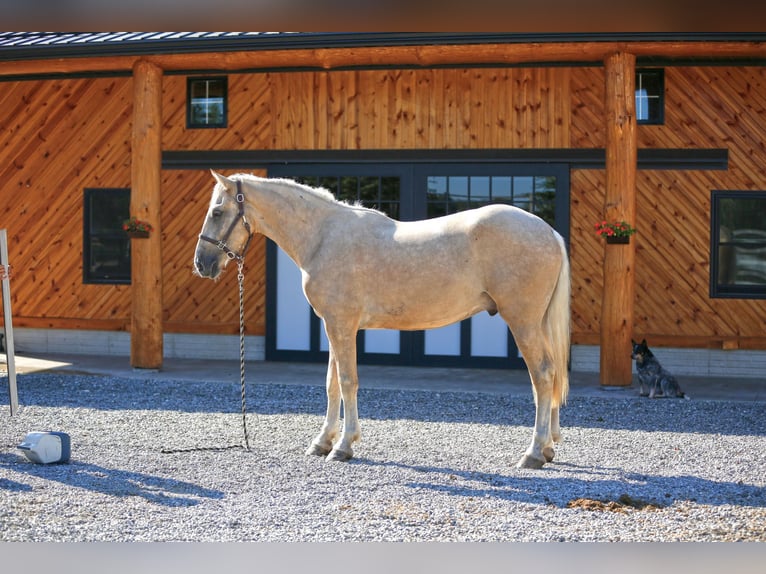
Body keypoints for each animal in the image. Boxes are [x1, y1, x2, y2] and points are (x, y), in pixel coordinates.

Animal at [195, 173, 572, 470]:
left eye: (217, 212)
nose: (202, 264)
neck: (323, 236)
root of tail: (549, 233)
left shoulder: (341, 325)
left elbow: (348, 381)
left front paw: (343, 446)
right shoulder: (334, 325)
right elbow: (331, 383)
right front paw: (322, 442)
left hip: (522, 321)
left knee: (542, 374)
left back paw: (533, 453)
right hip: (535, 324)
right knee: (552, 373)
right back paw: (548, 447)